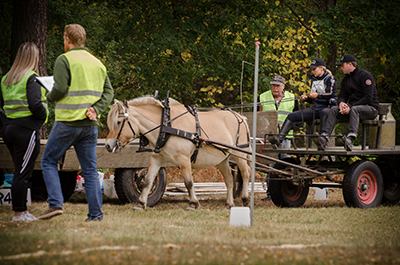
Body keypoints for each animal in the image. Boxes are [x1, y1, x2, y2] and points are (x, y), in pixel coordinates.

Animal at [104, 96, 252, 209]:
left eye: (118, 122)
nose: (107, 145)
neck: (166, 126)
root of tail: (240, 116)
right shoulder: (156, 159)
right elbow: (148, 181)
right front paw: (140, 204)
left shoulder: (184, 159)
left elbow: (189, 182)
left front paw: (193, 204)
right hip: (222, 158)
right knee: (229, 179)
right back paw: (229, 204)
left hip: (241, 153)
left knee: (246, 173)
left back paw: (245, 199)